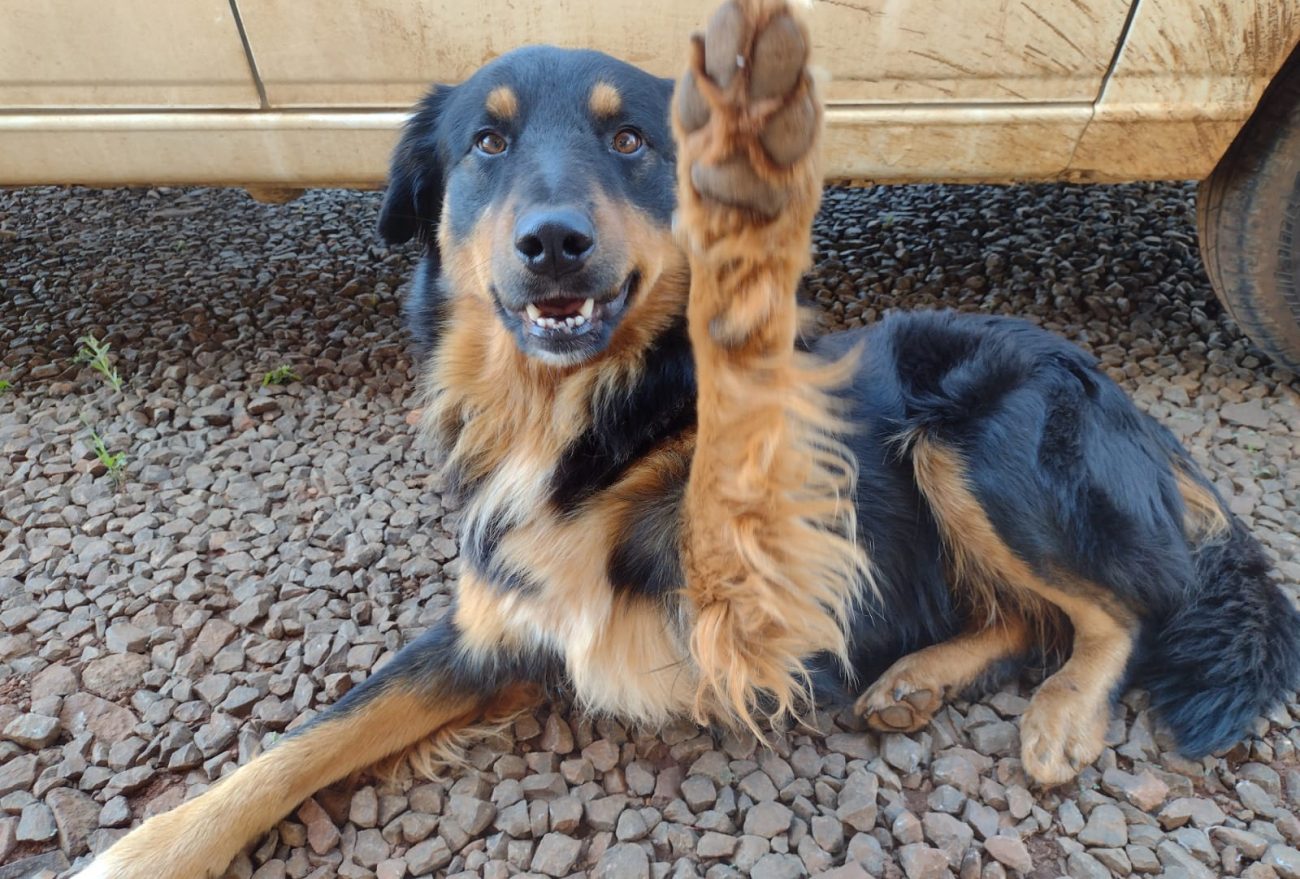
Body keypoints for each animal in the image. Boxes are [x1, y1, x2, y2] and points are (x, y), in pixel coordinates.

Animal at [78, 3, 1300, 873]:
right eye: (485, 142)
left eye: (628, 139)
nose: (552, 243)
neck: (583, 416)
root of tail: (1145, 422)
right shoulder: (486, 625)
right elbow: (302, 740)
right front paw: (144, 850)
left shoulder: (758, 607)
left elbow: (734, 498)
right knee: (1028, 614)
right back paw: (919, 677)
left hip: (975, 433)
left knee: (1129, 606)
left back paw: (1059, 719)